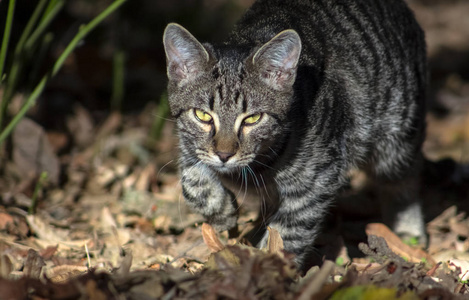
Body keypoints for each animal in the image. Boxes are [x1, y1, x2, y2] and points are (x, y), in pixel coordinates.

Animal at [163, 0, 426, 270]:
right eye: (202, 115)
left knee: (404, 179)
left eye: (253, 119)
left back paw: (408, 234)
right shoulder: (187, 146)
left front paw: (269, 267)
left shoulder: (315, 182)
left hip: (397, 134)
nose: (224, 154)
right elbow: (192, 180)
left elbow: (289, 233)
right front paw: (221, 212)